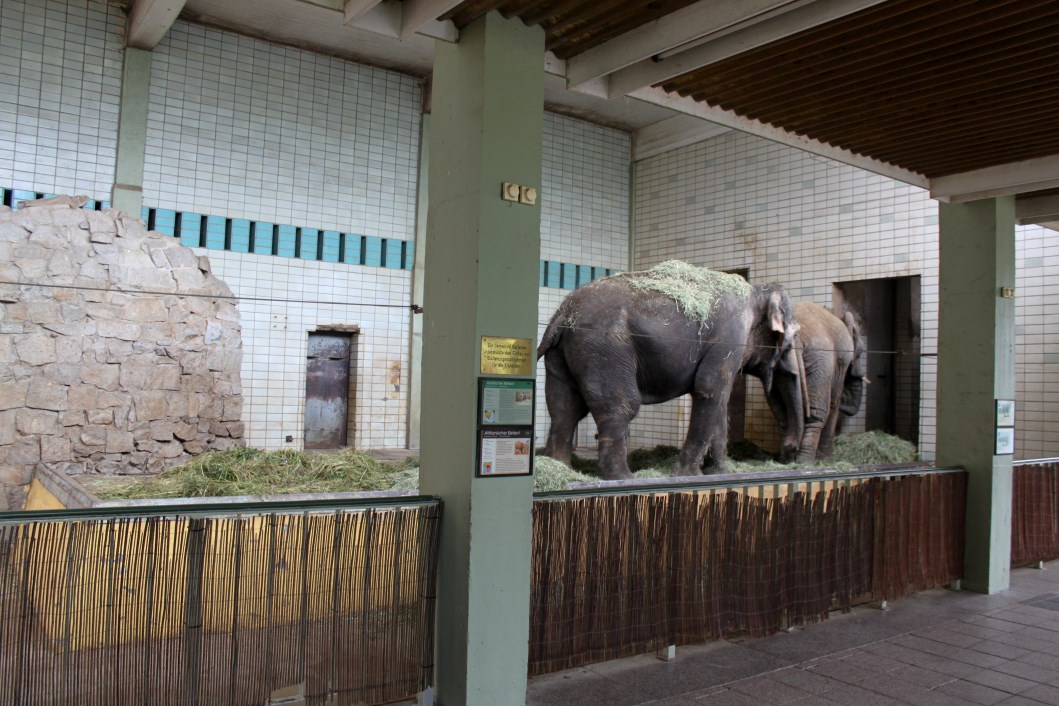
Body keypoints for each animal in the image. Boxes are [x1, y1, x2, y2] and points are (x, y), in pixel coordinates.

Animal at [537, 261, 803, 480]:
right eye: (790, 341)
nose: (788, 453)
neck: (755, 292)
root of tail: (563, 314)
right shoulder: (730, 337)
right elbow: (709, 390)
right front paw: (687, 475)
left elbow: (719, 401)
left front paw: (720, 473)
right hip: (604, 348)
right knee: (622, 406)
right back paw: (624, 477)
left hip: (564, 353)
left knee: (564, 408)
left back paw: (561, 469)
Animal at [766, 302, 866, 463]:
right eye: (860, 352)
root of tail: (795, 336)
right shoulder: (839, 363)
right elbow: (834, 403)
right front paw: (827, 460)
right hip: (820, 357)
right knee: (817, 412)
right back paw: (806, 462)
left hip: (779, 362)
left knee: (784, 413)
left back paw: (788, 460)